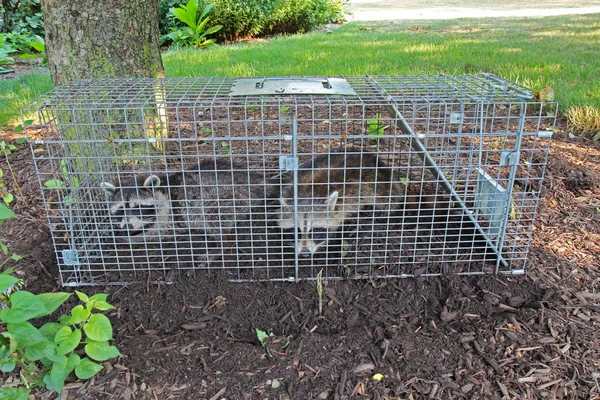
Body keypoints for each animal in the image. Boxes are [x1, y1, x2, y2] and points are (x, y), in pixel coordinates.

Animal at [101, 159, 276, 262]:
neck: (163, 189)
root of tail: (255, 180)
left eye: (138, 207)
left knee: (212, 216)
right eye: (120, 211)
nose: (127, 227)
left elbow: (159, 232)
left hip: (226, 197)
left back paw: (222, 245)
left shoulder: (171, 213)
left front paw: (130, 238)